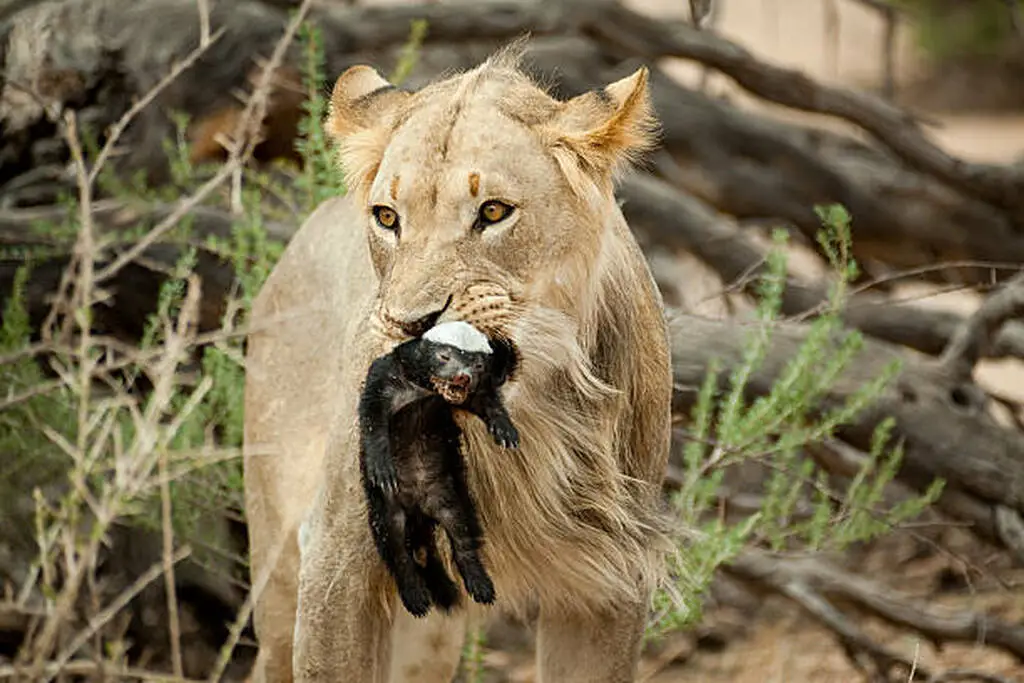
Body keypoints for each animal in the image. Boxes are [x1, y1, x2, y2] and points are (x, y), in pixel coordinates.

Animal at [242, 44, 673, 683]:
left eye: (493, 211)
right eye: (387, 217)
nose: (410, 323)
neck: (527, 419)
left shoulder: (610, 581)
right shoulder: (336, 562)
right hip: (276, 562)